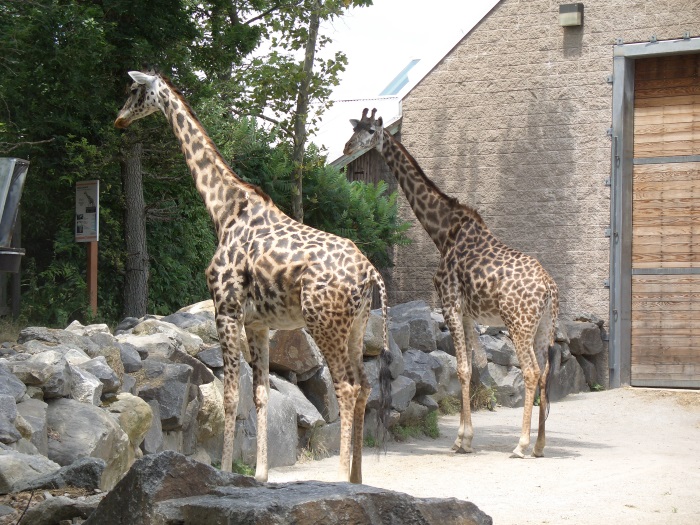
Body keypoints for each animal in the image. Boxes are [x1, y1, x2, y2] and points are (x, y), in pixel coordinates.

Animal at [112, 71, 392, 482]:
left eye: (134, 90)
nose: (119, 119)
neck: (224, 210)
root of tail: (370, 272)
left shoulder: (226, 310)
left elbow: (231, 395)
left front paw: (227, 472)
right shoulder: (258, 323)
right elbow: (260, 394)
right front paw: (260, 475)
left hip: (325, 323)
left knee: (346, 387)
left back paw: (342, 478)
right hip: (355, 327)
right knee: (366, 385)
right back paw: (357, 478)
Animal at [342, 109, 560, 458]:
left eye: (370, 131)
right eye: (354, 128)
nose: (347, 147)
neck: (442, 231)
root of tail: (550, 289)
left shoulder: (449, 303)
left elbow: (462, 369)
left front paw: (460, 441)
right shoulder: (469, 312)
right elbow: (473, 368)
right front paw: (466, 439)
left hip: (519, 324)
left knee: (531, 372)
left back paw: (521, 445)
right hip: (543, 328)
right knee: (545, 373)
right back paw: (539, 445)